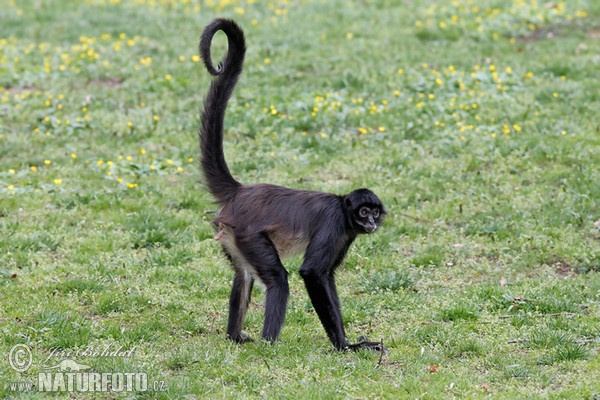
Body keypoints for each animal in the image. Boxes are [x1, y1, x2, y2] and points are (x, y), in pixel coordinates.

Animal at [199, 18, 386, 352]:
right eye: (363, 212)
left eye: (374, 212)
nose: (371, 222)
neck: (342, 208)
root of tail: (242, 191)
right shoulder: (334, 222)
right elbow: (312, 273)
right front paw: (344, 345)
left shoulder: (346, 234)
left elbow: (328, 276)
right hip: (249, 234)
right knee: (277, 278)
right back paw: (268, 345)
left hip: (233, 236)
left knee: (243, 275)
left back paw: (235, 336)